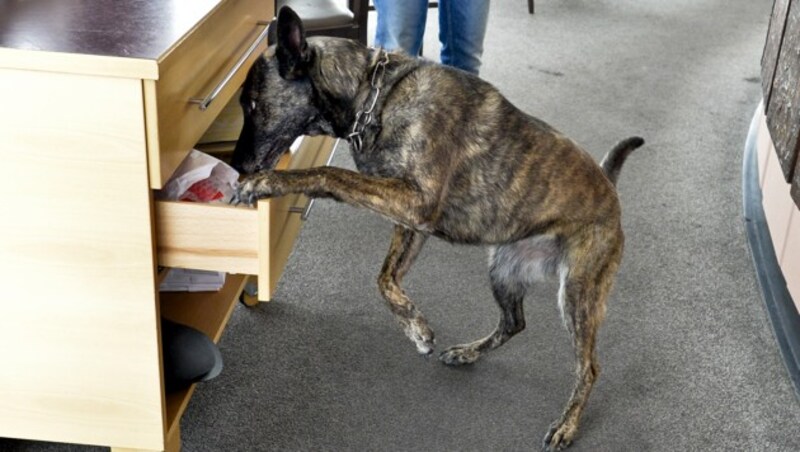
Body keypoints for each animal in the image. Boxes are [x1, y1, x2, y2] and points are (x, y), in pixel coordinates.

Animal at [230, 6, 644, 448]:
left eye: (252, 104)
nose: (235, 164)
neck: (374, 96)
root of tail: (608, 186)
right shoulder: (410, 217)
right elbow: (384, 277)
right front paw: (415, 327)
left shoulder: (414, 202)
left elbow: (326, 174)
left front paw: (266, 183)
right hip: (503, 270)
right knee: (513, 323)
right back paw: (468, 352)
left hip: (579, 294)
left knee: (589, 367)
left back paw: (567, 424)